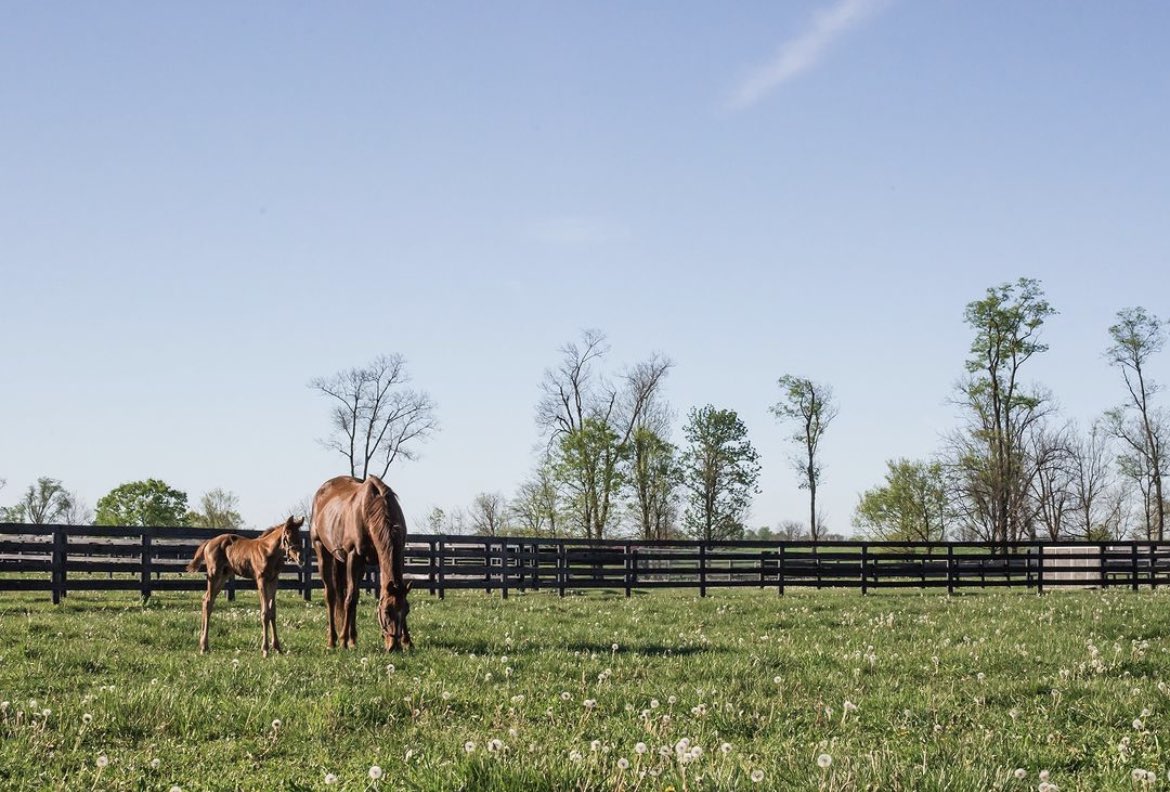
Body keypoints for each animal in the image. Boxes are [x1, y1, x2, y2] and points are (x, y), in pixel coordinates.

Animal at [184, 512, 304, 655]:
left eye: (300, 536)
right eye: (288, 535)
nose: (300, 558)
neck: (269, 551)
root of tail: (208, 542)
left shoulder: (274, 580)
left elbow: (272, 612)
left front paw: (277, 648)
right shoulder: (261, 579)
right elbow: (265, 613)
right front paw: (265, 650)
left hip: (224, 575)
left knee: (207, 599)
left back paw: (203, 644)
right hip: (214, 574)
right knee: (208, 601)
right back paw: (203, 646)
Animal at [313, 474, 414, 650]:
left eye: (406, 610)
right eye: (386, 611)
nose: (394, 646)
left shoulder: (397, 554)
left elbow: (354, 597)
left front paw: (408, 641)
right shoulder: (354, 556)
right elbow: (350, 599)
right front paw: (343, 640)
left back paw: (353, 640)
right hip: (322, 550)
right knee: (331, 595)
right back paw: (333, 640)